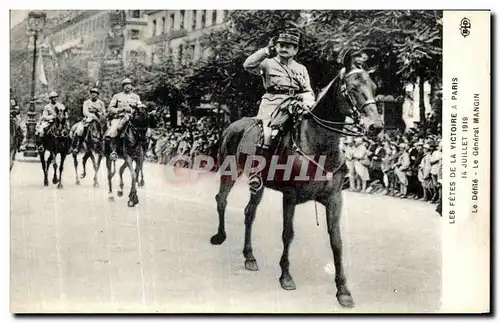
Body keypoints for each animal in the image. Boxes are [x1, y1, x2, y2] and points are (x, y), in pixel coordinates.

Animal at [209, 53, 384, 308]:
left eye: (374, 87)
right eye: (352, 88)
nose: (376, 126)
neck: (319, 144)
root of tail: (232, 125)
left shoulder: (334, 199)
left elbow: (337, 241)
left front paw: (343, 290)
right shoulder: (290, 197)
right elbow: (288, 233)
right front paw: (286, 276)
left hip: (257, 184)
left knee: (249, 213)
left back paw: (249, 256)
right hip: (230, 170)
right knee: (221, 199)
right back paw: (220, 236)